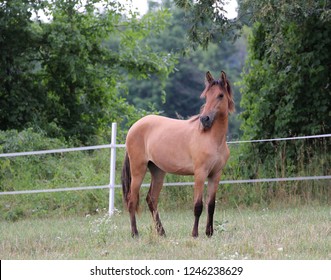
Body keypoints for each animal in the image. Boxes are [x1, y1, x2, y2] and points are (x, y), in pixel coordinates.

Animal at [120, 70, 235, 236]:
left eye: (220, 95)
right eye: (206, 96)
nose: (205, 119)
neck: (212, 138)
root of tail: (133, 127)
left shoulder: (215, 174)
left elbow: (211, 205)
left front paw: (209, 233)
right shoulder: (200, 173)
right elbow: (198, 205)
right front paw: (195, 234)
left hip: (158, 171)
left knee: (151, 199)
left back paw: (161, 232)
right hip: (138, 170)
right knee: (132, 200)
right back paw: (135, 233)